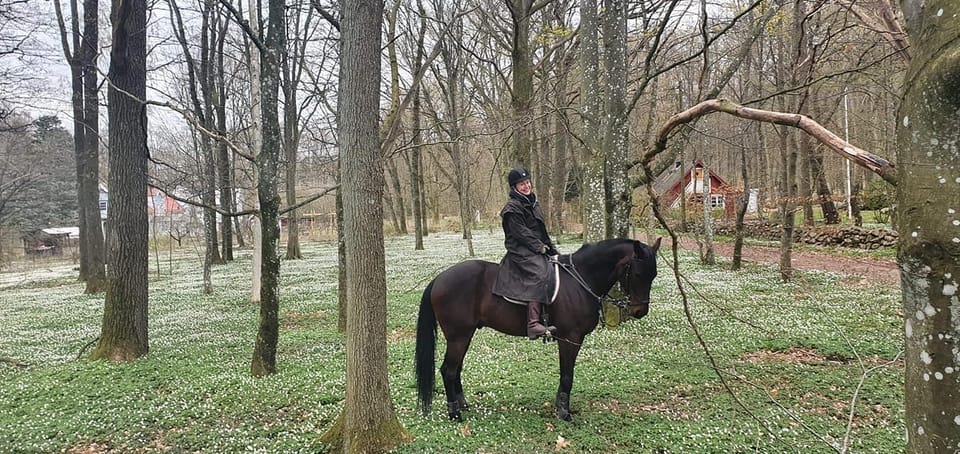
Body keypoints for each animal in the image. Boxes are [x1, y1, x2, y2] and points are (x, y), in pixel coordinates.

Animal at [412, 238, 660, 422]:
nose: (640, 311)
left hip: (464, 335)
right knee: (448, 370)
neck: (580, 279)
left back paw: (462, 405)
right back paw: (454, 413)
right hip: (459, 336)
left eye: (653, 275)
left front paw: (559, 406)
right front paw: (564, 413)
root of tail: (439, 278)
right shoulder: (570, 338)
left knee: (456, 369)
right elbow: (567, 375)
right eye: (638, 274)